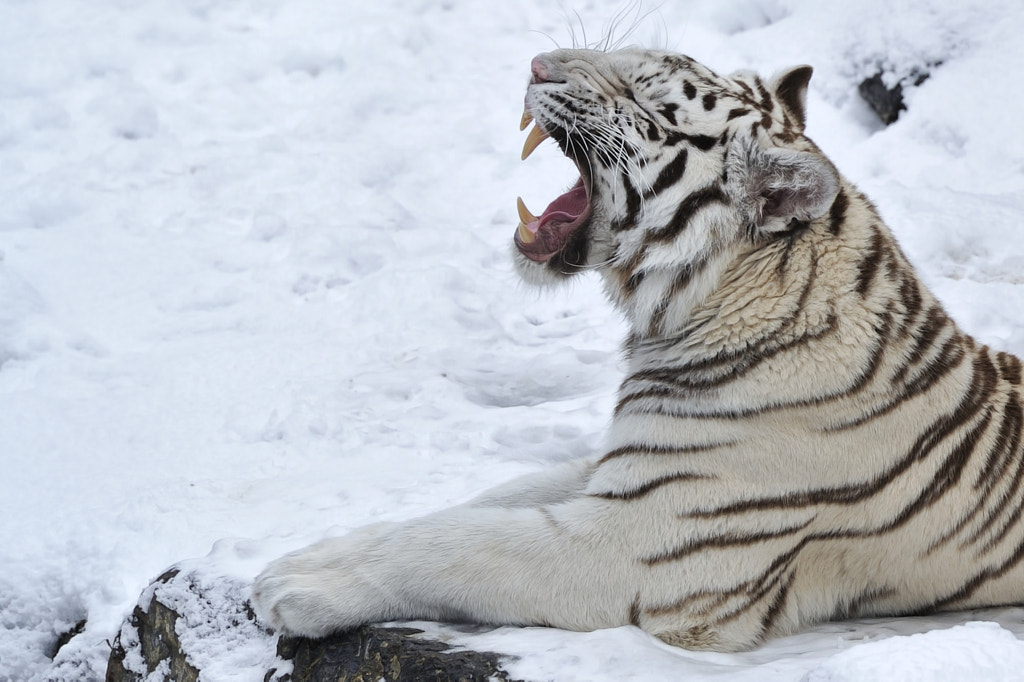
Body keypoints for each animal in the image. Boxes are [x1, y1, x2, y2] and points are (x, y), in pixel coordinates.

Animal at [251, 45, 1024, 651]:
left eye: (643, 97)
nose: (537, 63)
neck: (684, 312)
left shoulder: (645, 546)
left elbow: (466, 544)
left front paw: (293, 585)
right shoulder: (628, 464)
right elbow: (474, 507)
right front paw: (308, 554)